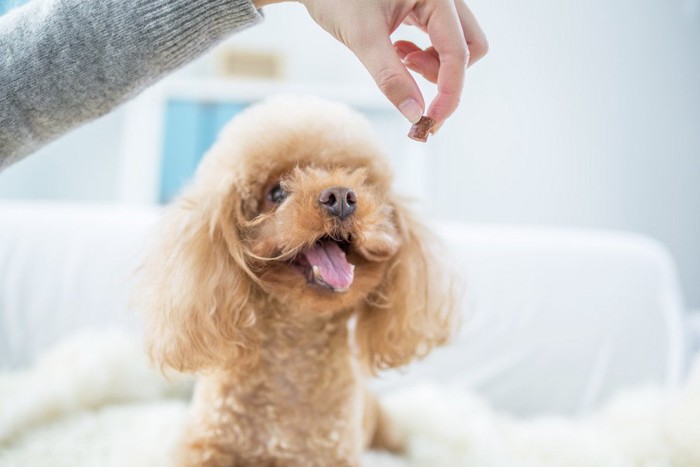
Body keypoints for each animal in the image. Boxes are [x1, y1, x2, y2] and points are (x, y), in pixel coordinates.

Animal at [134, 97, 456, 466]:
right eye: (276, 192)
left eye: (360, 181)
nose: (341, 197)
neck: (295, 350)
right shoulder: (206, 447)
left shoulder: (333, 456)